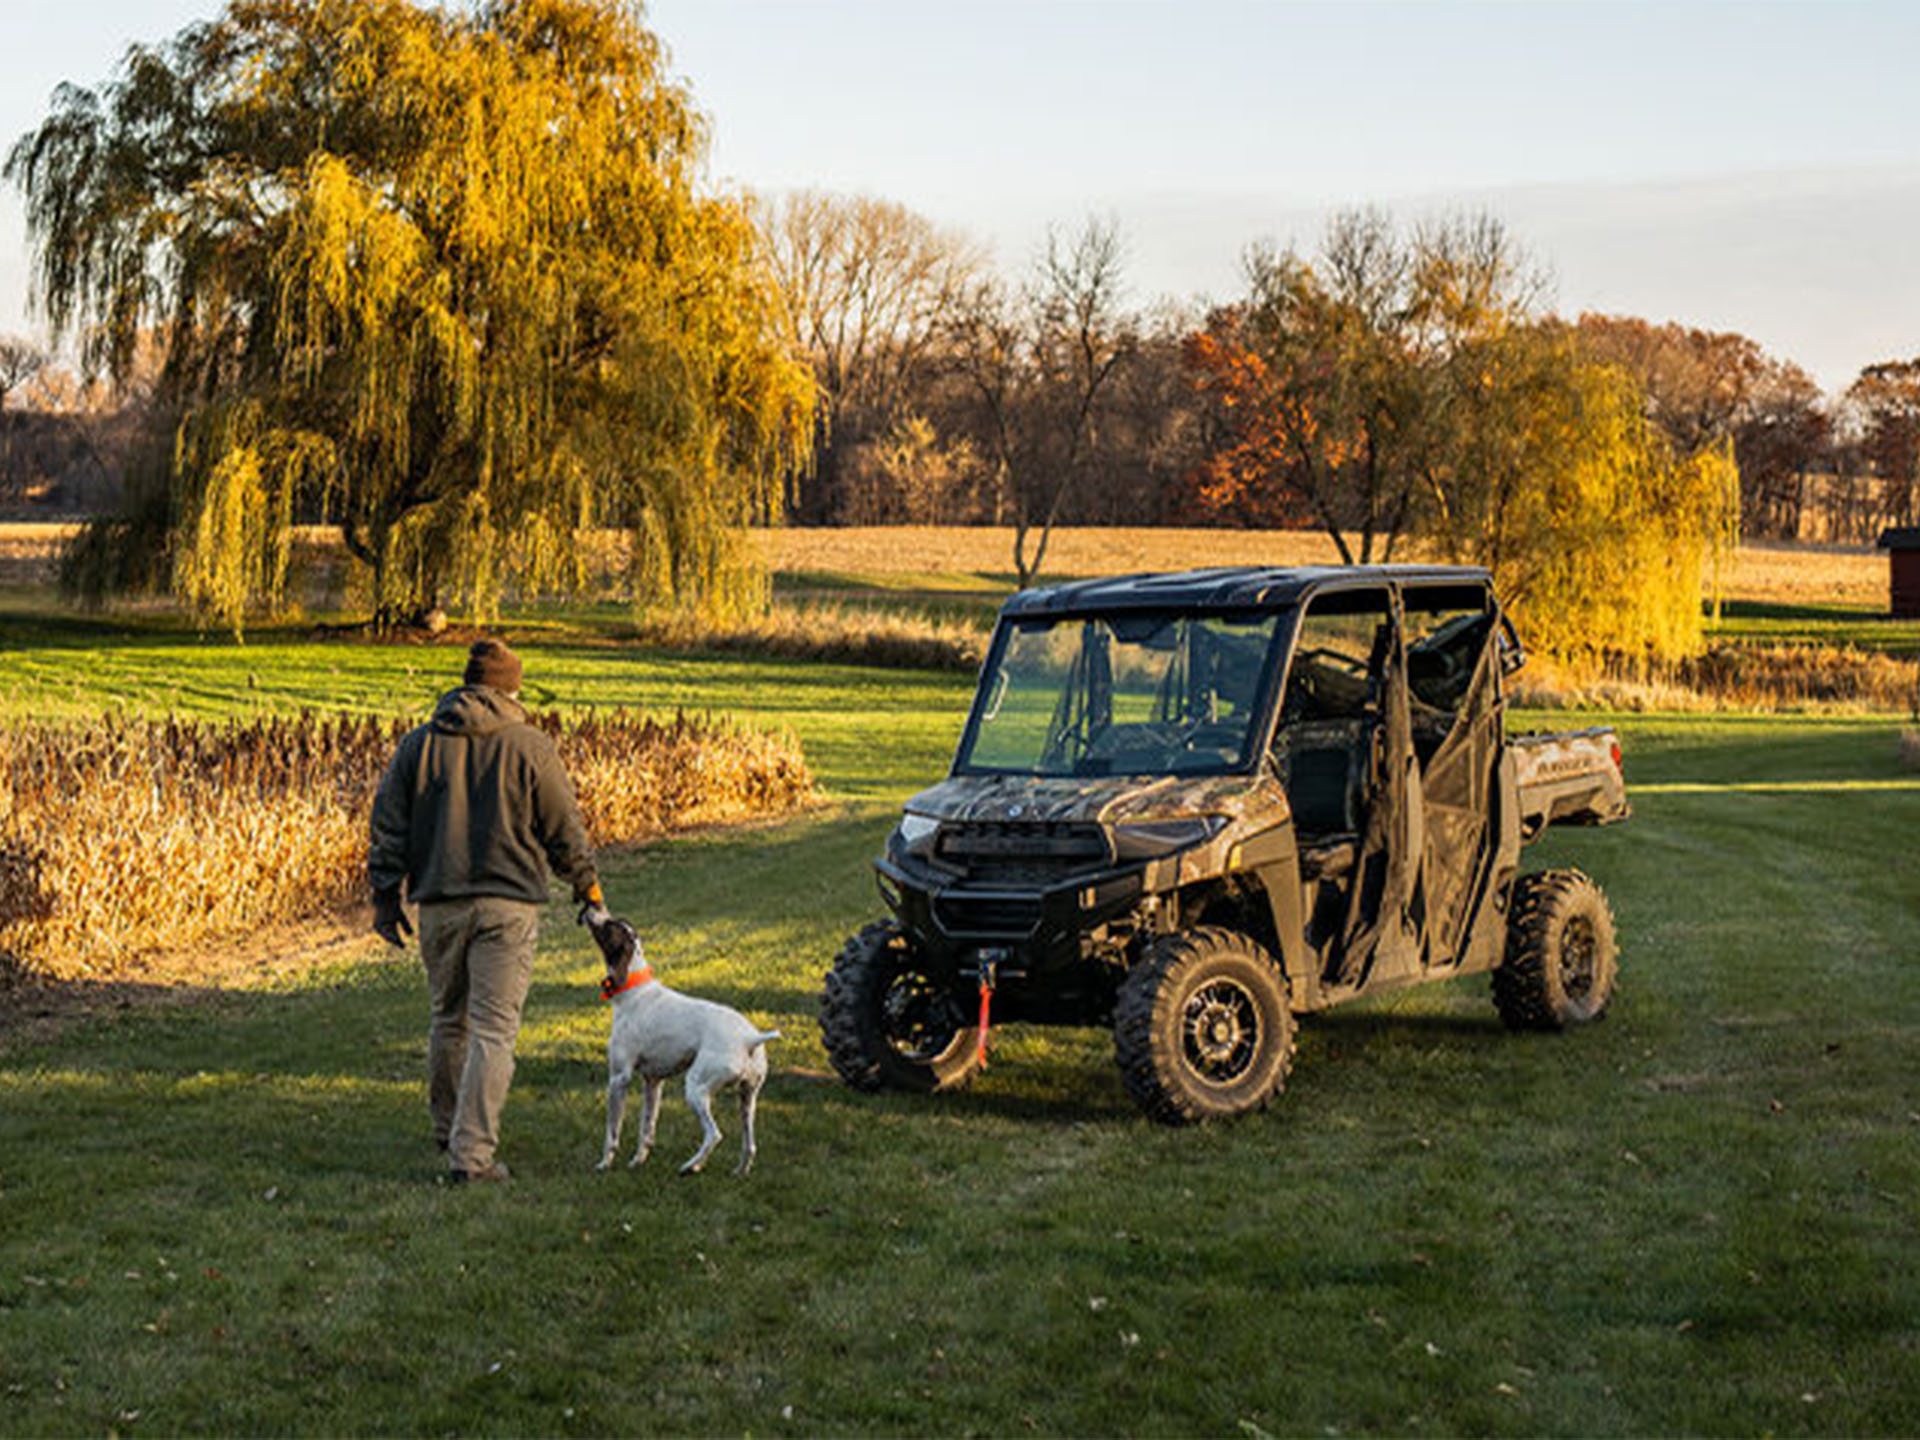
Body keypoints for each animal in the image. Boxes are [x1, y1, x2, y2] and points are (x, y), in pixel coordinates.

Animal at [591, 917, 787, 1175]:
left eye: (608, 927)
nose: (588, 914)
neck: (635, 990)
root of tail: (750, 1039)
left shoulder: (618, 1079)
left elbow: (612, 1134)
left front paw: (604, 1163)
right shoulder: (653, 1082)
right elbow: (647, 1130)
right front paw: (637, 1161)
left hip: (695, 1089)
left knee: (714, 1135)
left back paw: (690, 1166)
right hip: (746, 1100)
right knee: (750, 1146)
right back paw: (736, 1171)